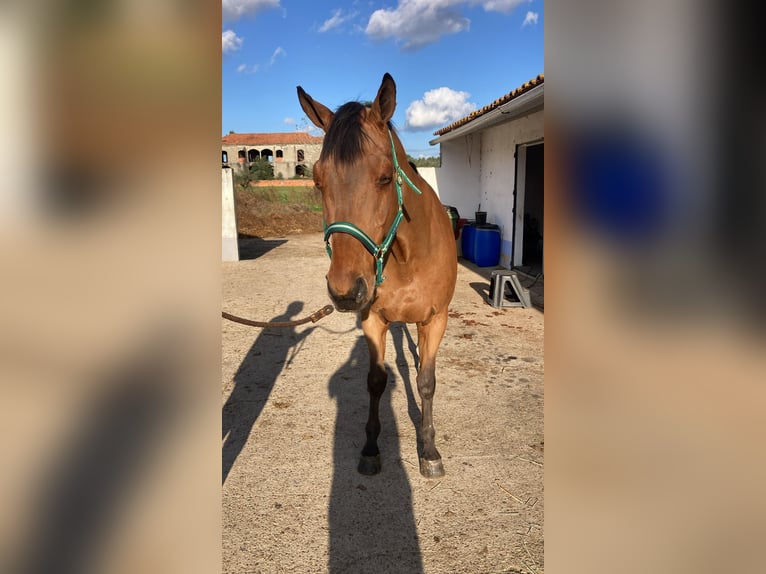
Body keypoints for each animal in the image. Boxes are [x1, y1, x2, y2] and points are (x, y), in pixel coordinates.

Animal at [298, 74, 456, 480]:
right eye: (318, 180)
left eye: (385, 178)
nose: (344, 291)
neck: (407, 257)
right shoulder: (372, 319)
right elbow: (376, 381)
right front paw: (371, 448)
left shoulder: (435, 320)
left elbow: (426, 382)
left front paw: (429, 450)